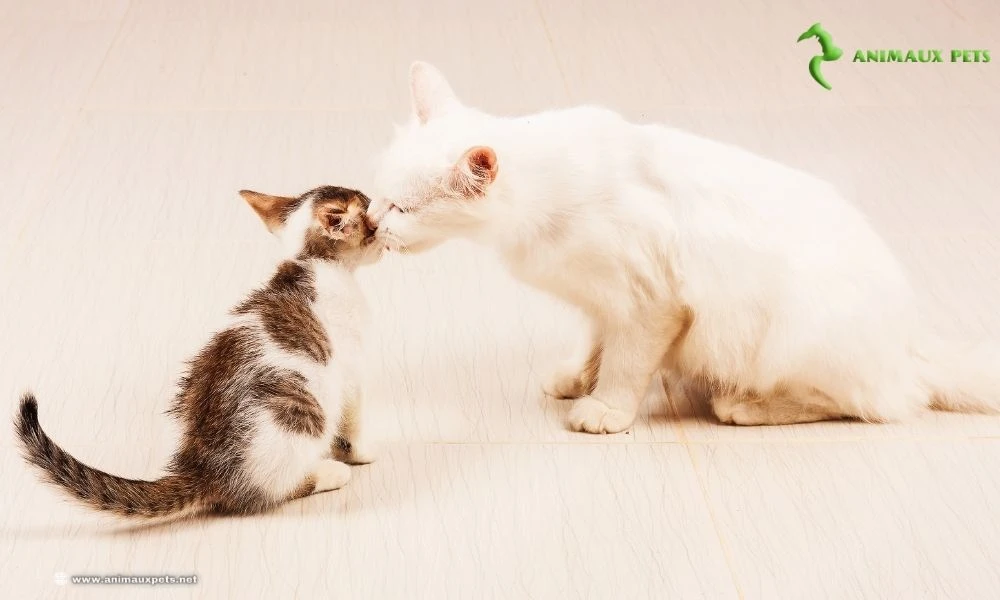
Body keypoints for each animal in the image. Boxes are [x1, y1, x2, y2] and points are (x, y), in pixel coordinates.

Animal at [15, 185, 382, 516]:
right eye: (372, 227)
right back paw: (329, 472)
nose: (383, 236)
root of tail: (204, 469)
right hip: (299, 417)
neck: (315, 266)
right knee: (275, 489)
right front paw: (360, 453)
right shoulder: (350, 368)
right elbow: (353, 418)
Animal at [370, 61, 1000, 434]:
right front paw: (577, 379)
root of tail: (912, 342)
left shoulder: (649, 302)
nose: (374, 224)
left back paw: (744, 405)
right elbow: (595, 344)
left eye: (402, 209)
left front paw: (606, 408)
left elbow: (625, 364)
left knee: (876, 403)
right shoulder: (604, 299)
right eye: (378, 195)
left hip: (795, 334)